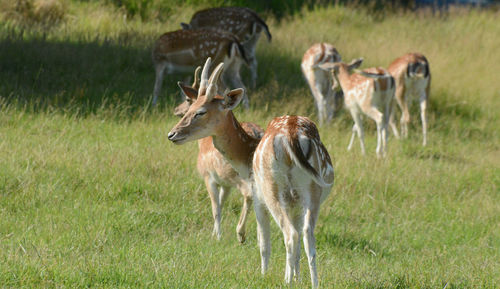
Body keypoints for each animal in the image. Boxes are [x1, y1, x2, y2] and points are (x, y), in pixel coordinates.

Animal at [174, 65, 266, 241]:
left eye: (199, 110)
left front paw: (216, 237)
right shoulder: (225, 184)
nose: (171, 134)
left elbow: (215, 207)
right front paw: (215, 234)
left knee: (249, 195)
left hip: (241, 179)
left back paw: (241, 234)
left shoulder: (208, 176)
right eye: (192, 105)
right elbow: (221, 203)